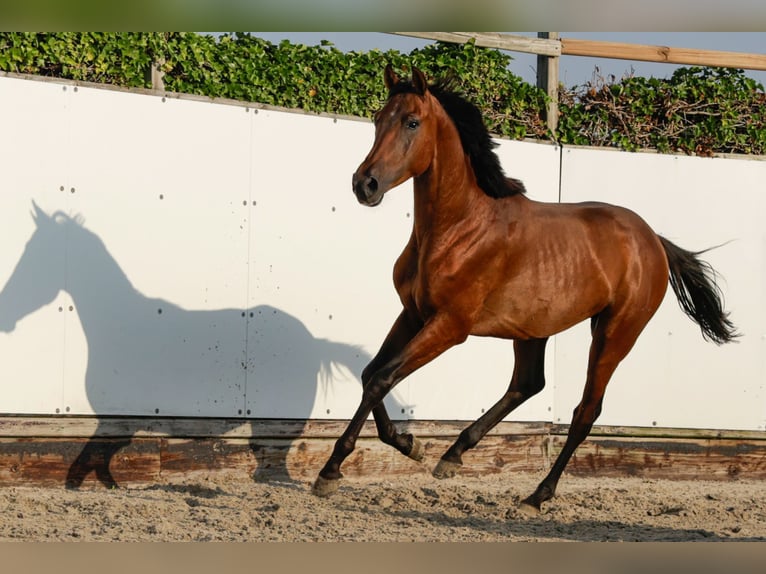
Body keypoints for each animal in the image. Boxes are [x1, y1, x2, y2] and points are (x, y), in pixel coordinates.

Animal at [311, 65, 738, 515]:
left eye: (412, 122)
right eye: (378, 119)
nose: (365, 184)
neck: (459, 228)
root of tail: (653, 240)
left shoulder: (449, 326)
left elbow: (383, 378)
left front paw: (331, 472)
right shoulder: (412, 314)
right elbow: (370, 374)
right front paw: (411, 445)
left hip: (615, 332)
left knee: (585, 410)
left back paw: (537, 495)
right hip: (533, 329)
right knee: (528, 383)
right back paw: (453, 456)